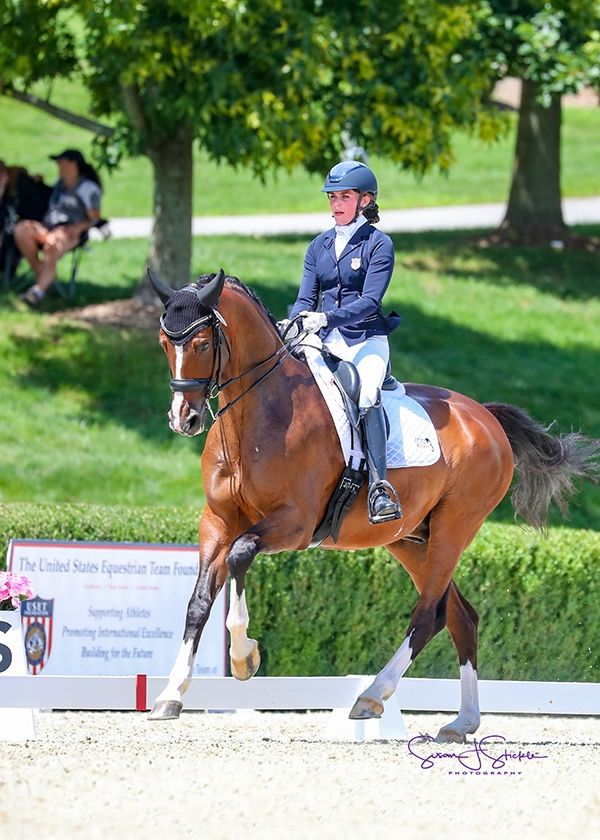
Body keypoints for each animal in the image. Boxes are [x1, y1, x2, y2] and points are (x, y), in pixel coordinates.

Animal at [148, 270, 596, 740]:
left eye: (201, 344)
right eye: (164, 343)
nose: (183, 419)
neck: (255, 417)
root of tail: (485, 417)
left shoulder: (294, 523)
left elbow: (240, 555)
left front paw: (243, 658)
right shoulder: (216, 521)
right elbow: (198, 603)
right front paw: (171, 695)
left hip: (454, 527)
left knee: (430, 615)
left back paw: (372, 696)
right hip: (412, 539)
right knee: (462, 617)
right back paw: (462, 722)